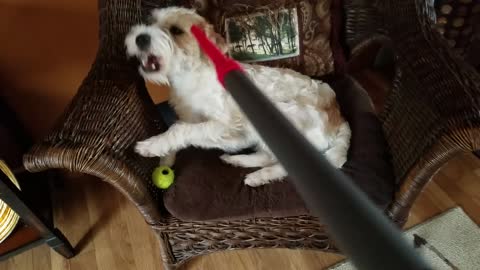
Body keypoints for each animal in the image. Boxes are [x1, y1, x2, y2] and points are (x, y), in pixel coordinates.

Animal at [125, 7, 350, 187]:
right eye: (151, 22)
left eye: (176, 30)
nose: (140, 37)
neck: (191, 76)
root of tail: (340, 117)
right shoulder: (190, 116)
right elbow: (178, 125)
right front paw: (166, 157)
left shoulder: (228, 125)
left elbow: (181, 129)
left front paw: (152, 146)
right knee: (267, 156)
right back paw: (239, 161)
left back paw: (259, 176)